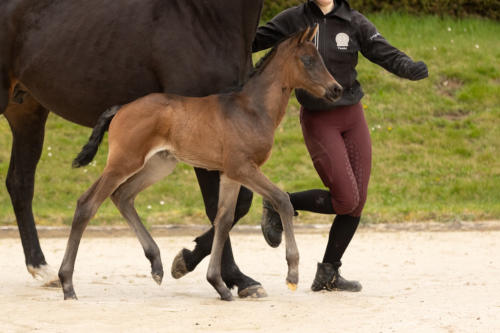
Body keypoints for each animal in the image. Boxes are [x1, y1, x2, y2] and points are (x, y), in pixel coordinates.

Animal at [57, 27, 340, 300]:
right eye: (308, 60)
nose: (336, 89)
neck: (252, 109)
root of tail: (121, 108)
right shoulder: (243, 168)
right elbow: (282, 199)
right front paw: (292, 274)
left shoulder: (230, 174)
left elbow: (223, 219)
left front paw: (219, 285)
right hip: (123, 161)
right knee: (87, 204)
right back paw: (67, 284)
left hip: (158, 164)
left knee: (122, 196)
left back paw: (156, 265)